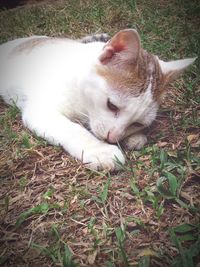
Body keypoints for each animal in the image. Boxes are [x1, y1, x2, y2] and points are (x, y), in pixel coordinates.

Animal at [0, 29, 195, 171]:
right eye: (112, 105)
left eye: (138, 123)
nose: (112, 138)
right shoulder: (40, 110)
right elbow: (74, 129)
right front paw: (99, 149)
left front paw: (134, 137)